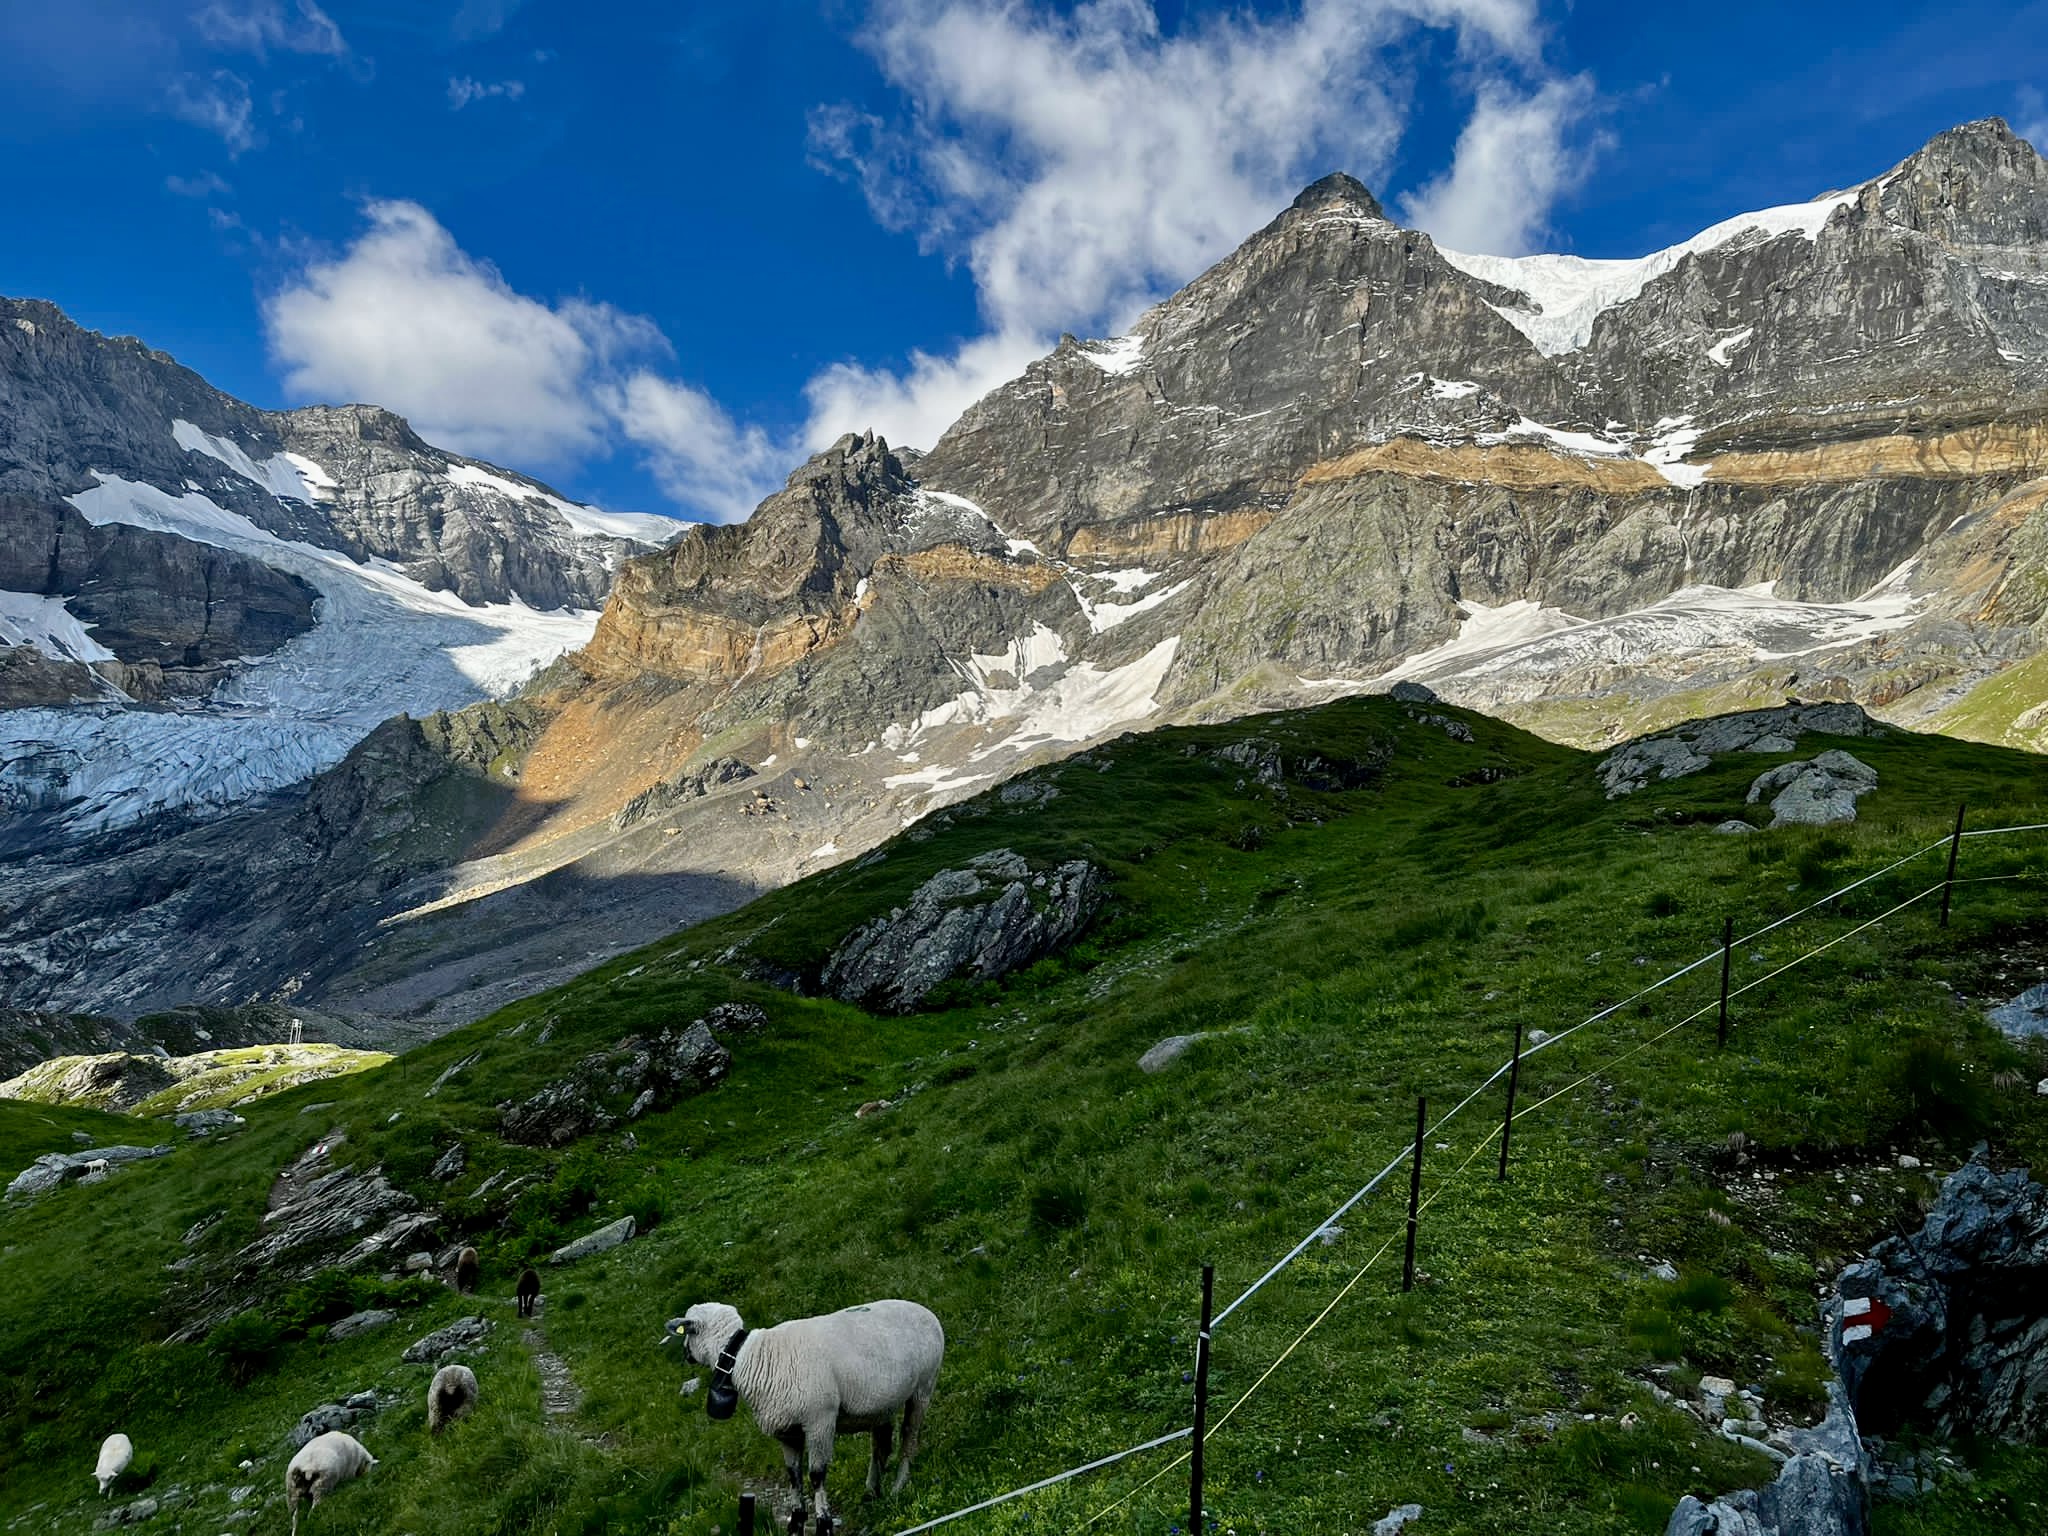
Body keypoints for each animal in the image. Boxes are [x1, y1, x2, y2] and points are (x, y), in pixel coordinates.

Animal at [659, 1302, 937, 1531]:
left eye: (687, 1330)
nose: (685, 1355)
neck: (751, 1357)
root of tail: (926, 1310)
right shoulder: (787, 1432)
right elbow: (793, 1475)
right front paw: (797, 1517)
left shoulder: (820, 1422)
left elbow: (816, 1475)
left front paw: (824, 1520)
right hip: (882, 1405)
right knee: (880, 1446)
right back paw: (871, 1492)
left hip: (923, 1388)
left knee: (909, 1439)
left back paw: (898, 1487)